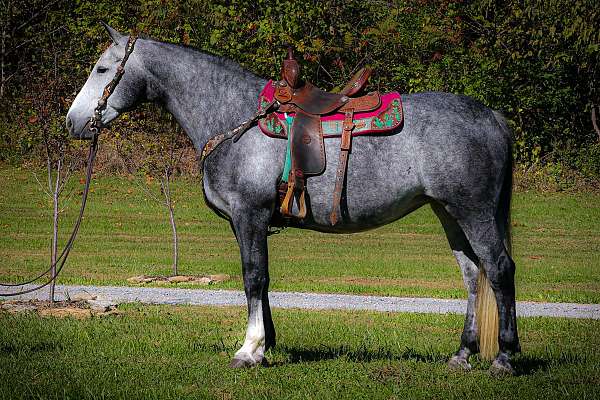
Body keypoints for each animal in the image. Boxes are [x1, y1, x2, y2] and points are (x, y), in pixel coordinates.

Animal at [63, 25, 516, 376]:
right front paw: (265, 345)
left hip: (473, 211)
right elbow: (260, 281)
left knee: (498, 269)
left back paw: (505, 358)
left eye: (102, 69)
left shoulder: (248, 215)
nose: (73, 122)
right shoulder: (248, 222)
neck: (235, 119)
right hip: (449, 212)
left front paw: (249, 350)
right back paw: (462, 355)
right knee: (472, 274)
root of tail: (492, 117)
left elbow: (253, 277)